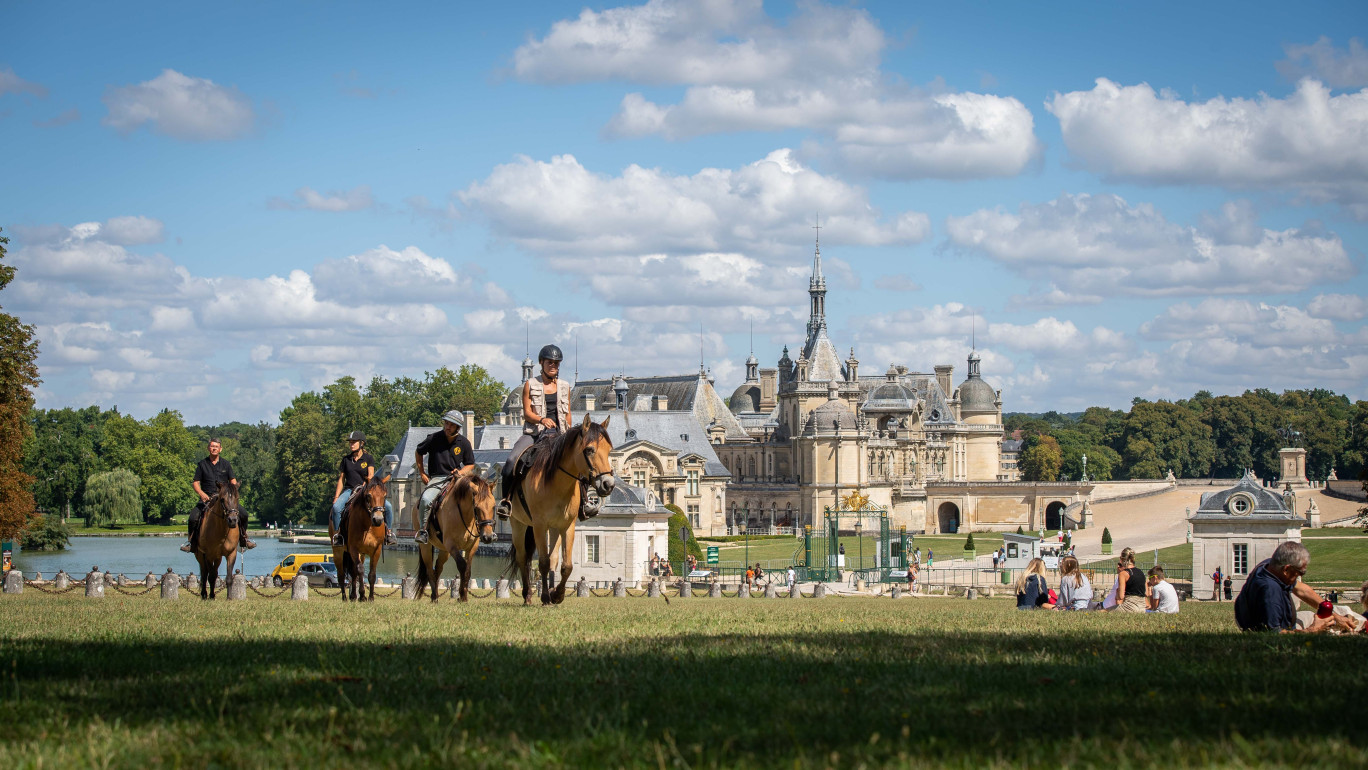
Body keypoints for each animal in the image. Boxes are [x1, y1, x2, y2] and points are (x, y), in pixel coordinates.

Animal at [418, 465, 506, 601]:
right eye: (476, 507)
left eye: (493, 507)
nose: (488, 537)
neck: (466, 516)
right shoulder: (452, 545)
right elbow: (462, 566)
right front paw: (461, 595)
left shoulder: (472, 546)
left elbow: (468, 570)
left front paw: (463, 596)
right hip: (426, 547)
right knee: (429, 569)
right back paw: (434, 597)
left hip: (443, 549)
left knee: (438, 567)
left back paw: (436, 594)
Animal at [508, 415, 615, 609]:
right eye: (589, 450)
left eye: (609, 450)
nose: (608, 484)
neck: (558, 483)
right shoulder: (539, 526)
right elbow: (542, 563)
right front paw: (545, 597)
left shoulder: (567, 526)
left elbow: (566, 565)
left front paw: (557, 594)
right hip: (518, 525)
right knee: (522, 558)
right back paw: (527, 595)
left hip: (554, 529)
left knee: (553, 558)